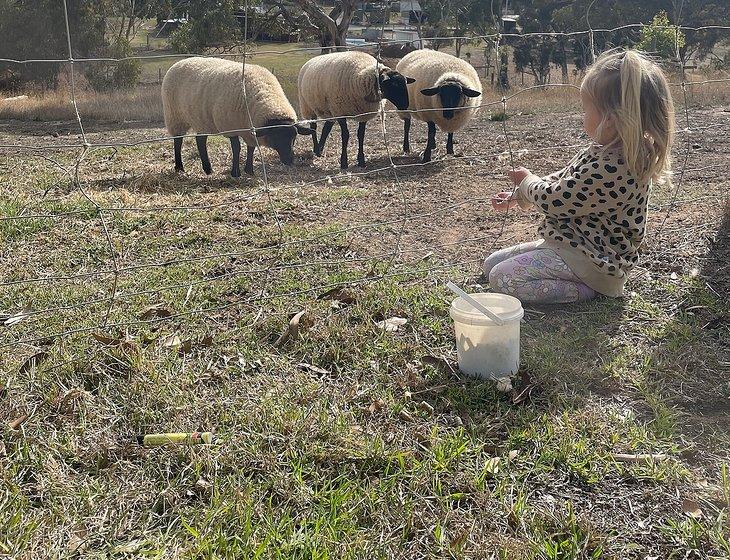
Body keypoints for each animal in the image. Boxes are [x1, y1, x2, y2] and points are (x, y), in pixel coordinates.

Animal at [161, 56, 312, 175]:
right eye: (276, 136)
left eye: (294, 137)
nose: (289, 160)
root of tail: (179, 61)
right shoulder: (230, 126)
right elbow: (236, 148)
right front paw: (236, 173)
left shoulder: (249, 129)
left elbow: (251, 148)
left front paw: (249, 170)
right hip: (175, 116)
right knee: (178, 141)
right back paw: (179, 167)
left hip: (201, 119)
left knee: (200, 140)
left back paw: (208, 169)